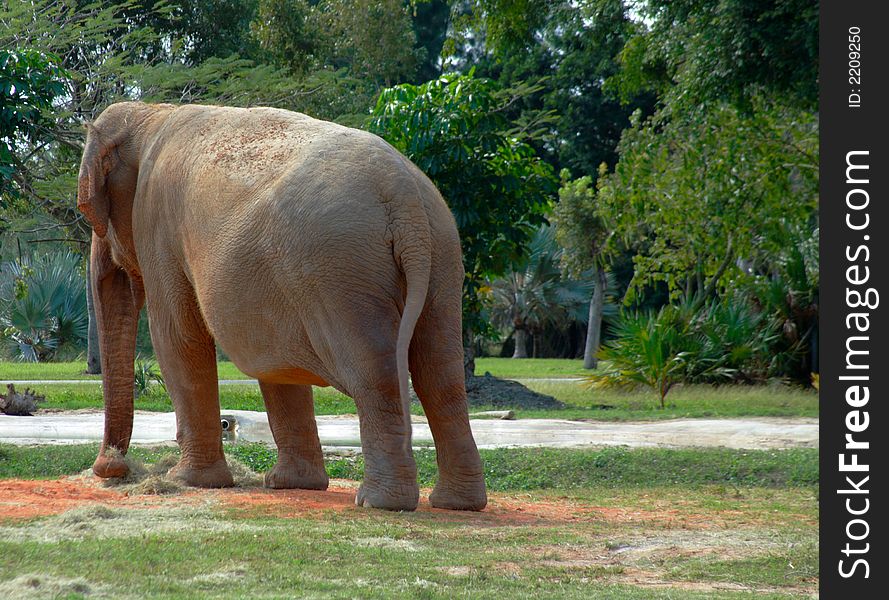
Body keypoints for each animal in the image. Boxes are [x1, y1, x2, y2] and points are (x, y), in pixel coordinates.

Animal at [78, 102, 486, 510]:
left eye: (88, 212)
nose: (112, 468)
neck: (152, 114)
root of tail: (405, 200)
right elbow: (275, 360)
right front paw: (290, 484)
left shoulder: (157, 227)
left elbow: (178, 338)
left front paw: (188, 481)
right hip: (441, 259)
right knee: (441, 374)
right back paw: (456, 503)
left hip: (341, 271)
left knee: (375, 372)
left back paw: (378, 502)